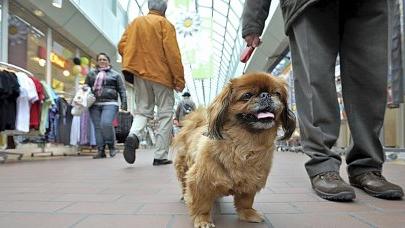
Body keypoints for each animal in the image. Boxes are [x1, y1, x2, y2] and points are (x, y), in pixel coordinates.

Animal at [172, 72, 296, 227]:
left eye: (277, 94)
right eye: (247, 95)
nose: (265, 95)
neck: (245, 144)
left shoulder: (251, 181)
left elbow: (245, 202)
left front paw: (248, 214)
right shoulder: (199, 180)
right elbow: (201, 204)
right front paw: (203, 220)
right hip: (183, 169)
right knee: (184, 184)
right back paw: (184, 195)